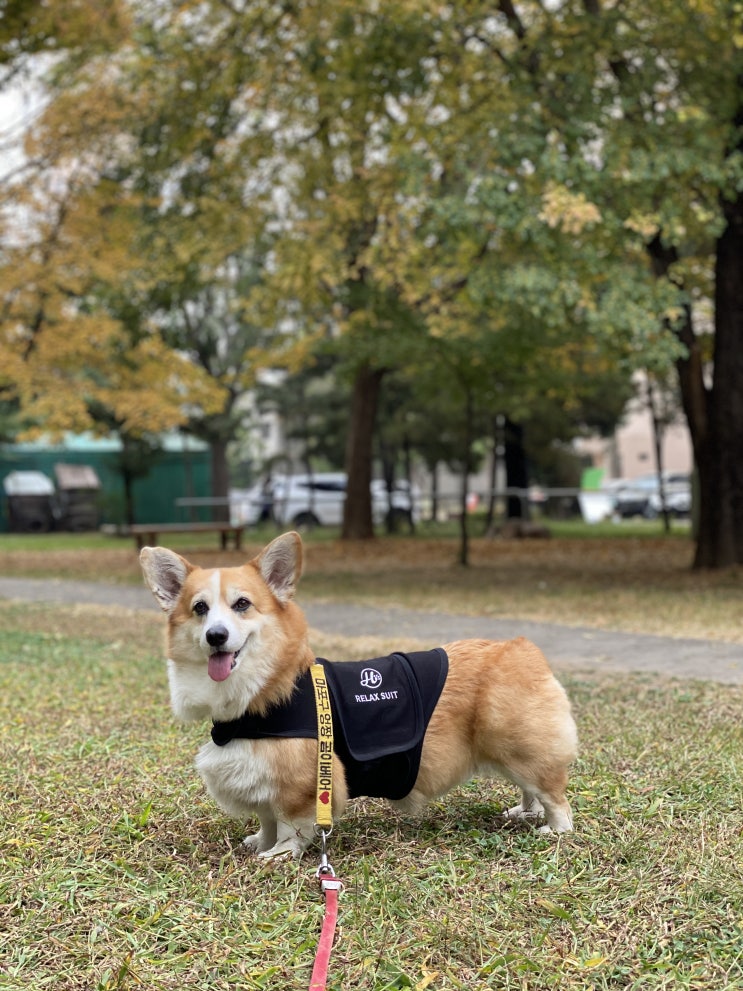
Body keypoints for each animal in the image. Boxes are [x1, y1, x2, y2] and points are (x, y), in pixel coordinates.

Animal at [141, 536, 580, 860]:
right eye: (200, 608)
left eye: (242, 604)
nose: (216, 636)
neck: (267, 687)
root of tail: (521, 648)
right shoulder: (259, 779)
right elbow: (266, 819)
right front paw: (260, 843)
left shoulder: (301, 786)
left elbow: (289, 824)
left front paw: (279, 854)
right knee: (530, 789)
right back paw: (524, 811)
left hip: (519, 750)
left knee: (554, 795)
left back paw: (554, 830)